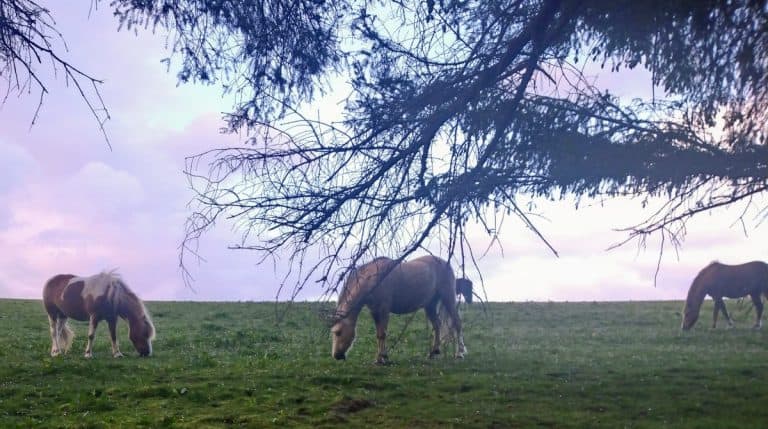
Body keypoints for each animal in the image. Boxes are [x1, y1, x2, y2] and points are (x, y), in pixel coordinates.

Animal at [330, 255, 467, 364]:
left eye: (338, 332)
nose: (336, 356)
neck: (374, 278)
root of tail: (445, 262)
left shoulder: (384, 310)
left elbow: (382, 334)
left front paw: (383, 358)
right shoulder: (375, 312)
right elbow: (378, 335)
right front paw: (379, 358)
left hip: (448, 297)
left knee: (457, 323)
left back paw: (459, 353)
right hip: (430, 305)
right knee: (437, 325)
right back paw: (434, 352)